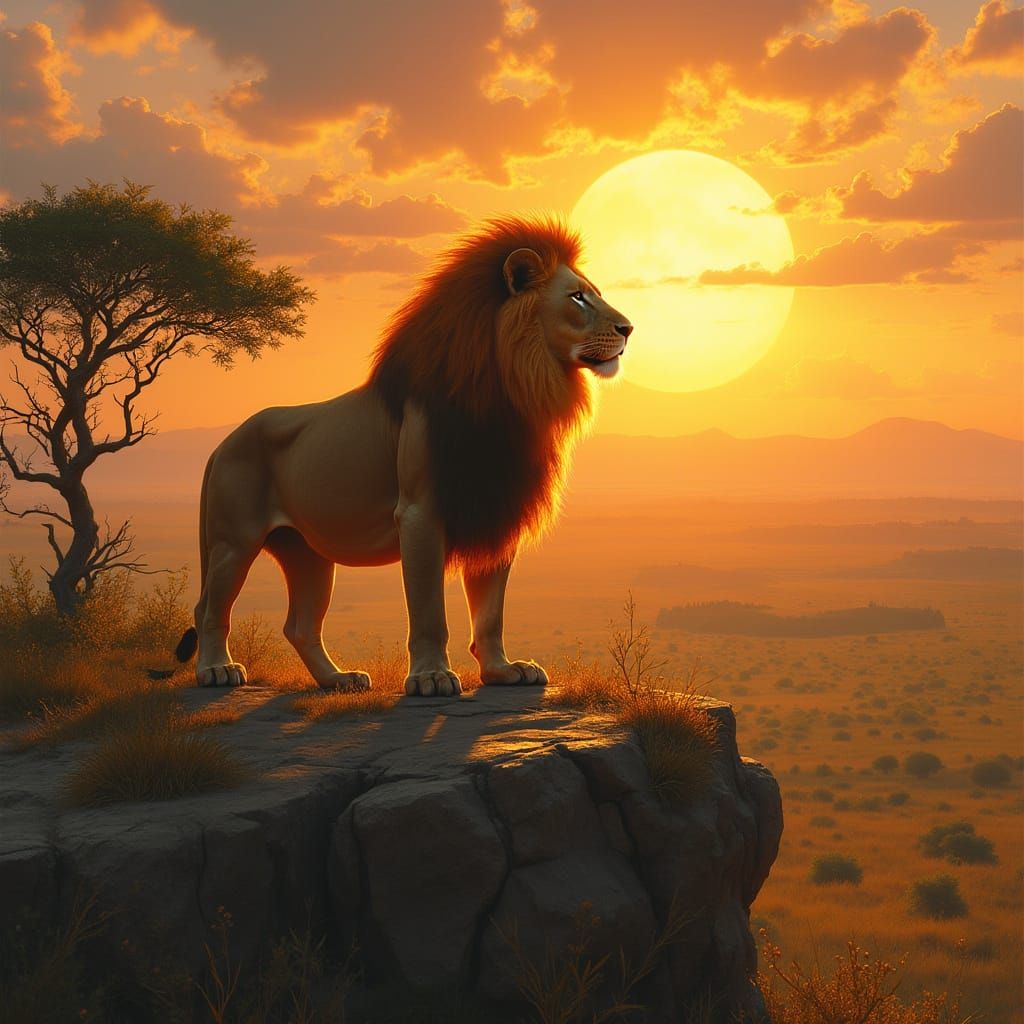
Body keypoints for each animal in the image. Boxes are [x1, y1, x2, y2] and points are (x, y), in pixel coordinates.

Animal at [175, 216, 632, 696]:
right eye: (577, 297)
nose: (630, 329)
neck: (513, 392)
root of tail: (222, 443)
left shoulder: (495, 509)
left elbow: (491, 612)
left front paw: (503, 670)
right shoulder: (420, 513)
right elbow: (429, 610)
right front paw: (431, 676)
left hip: (308, 551)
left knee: (299, 625)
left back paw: (338, 679)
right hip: (234, 541)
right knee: (209, 610)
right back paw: (217, 670)